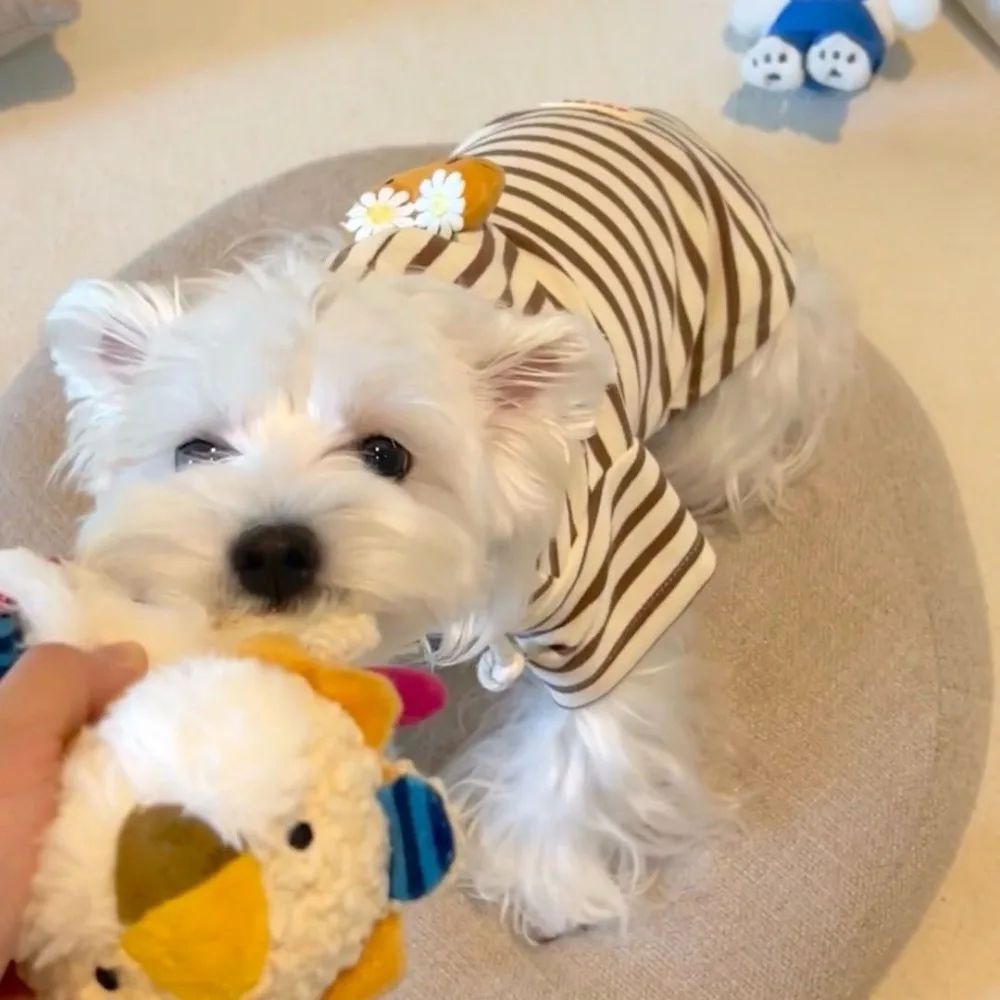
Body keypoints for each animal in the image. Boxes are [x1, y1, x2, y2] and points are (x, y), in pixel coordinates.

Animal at [36, 102, 856, 940]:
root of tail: (645, 116)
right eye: (197, 450)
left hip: (745, 377)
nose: (271, 551)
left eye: (385, 454)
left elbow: (589, 737)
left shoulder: (611, 574)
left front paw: (544, 878)